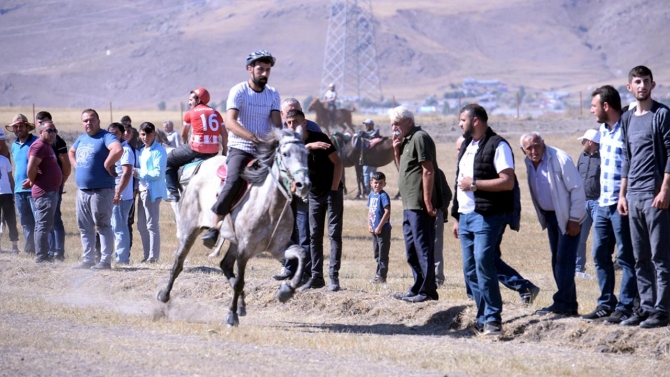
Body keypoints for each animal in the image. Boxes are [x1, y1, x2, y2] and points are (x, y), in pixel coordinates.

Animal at [158, 127, 312, 326]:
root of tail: (198, 169)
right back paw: (164, 295)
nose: (303, 185)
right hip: (189, 229)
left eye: (307, 154)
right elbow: (240, 281)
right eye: (285, 154)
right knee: (178, 262)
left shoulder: (278, 248)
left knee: (225, 265)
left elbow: (302, 253)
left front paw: (287, 290)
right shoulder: (245, 250)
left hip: (233, 242)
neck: (270, 206)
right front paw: (231, 316)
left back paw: (242, 304)